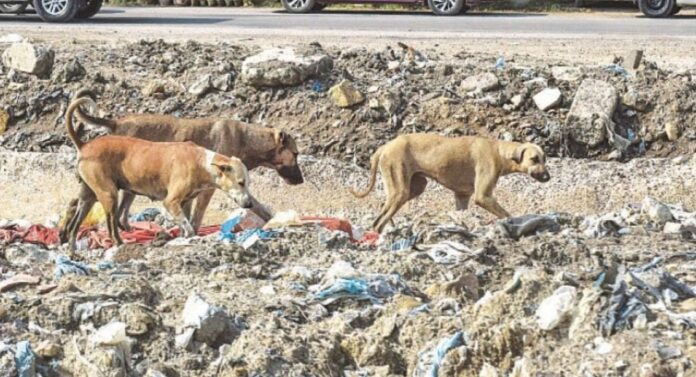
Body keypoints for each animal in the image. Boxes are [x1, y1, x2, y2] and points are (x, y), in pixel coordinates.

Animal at [64, 96, 254, 250]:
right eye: (241, 182)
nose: (250, 204)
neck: (202, 162)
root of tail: (84, 145)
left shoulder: (185, 203)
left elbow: (187, 225)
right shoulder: (171, 202)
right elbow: (189, 228)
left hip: (88, 198)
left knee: (74, 226)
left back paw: (73, 251)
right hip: (108, 195)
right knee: (110, 225)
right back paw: (119, 244)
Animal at [65, 89, 302, 234]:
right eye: (296, 154)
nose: (301, 181)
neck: (248, 139)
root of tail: (115, 122)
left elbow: (258, 205)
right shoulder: (209, 190)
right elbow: (196, 217)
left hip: (128, 186)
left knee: (104, 211)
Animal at [350, 132, 552, 232]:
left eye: (544, 158)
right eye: (534, 159)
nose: (548, 177)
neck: (499, 151)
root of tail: (385, 146)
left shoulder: (462, 197)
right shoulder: (483, 196)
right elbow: (506, 213)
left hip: (415, 187)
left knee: (383, 209)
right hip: (401, 190)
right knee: (378, 222)